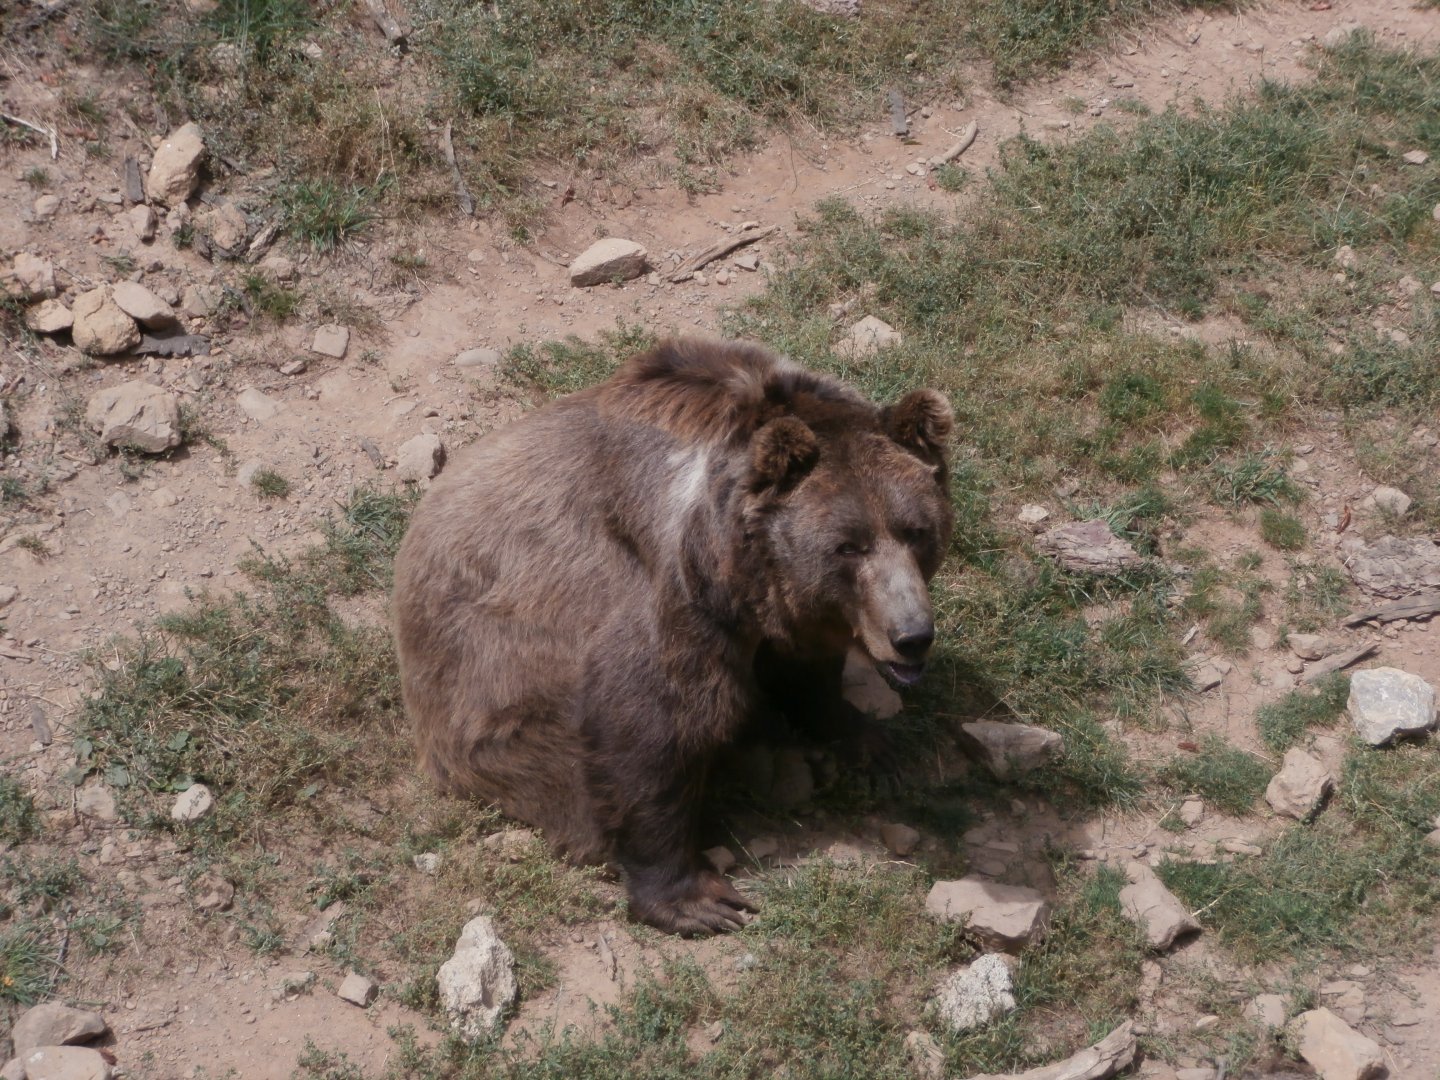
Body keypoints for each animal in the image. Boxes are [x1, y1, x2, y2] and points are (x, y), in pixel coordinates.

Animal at [392, 337, 954, 936]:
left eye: (916, 531)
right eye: (849, 545)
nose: (911, 636)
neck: (735, 563)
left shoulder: (782, 607)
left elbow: (806, 670)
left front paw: (869, 744)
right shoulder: (669, 590)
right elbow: (654, 721)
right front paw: (697, 898)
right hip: (495, 709)